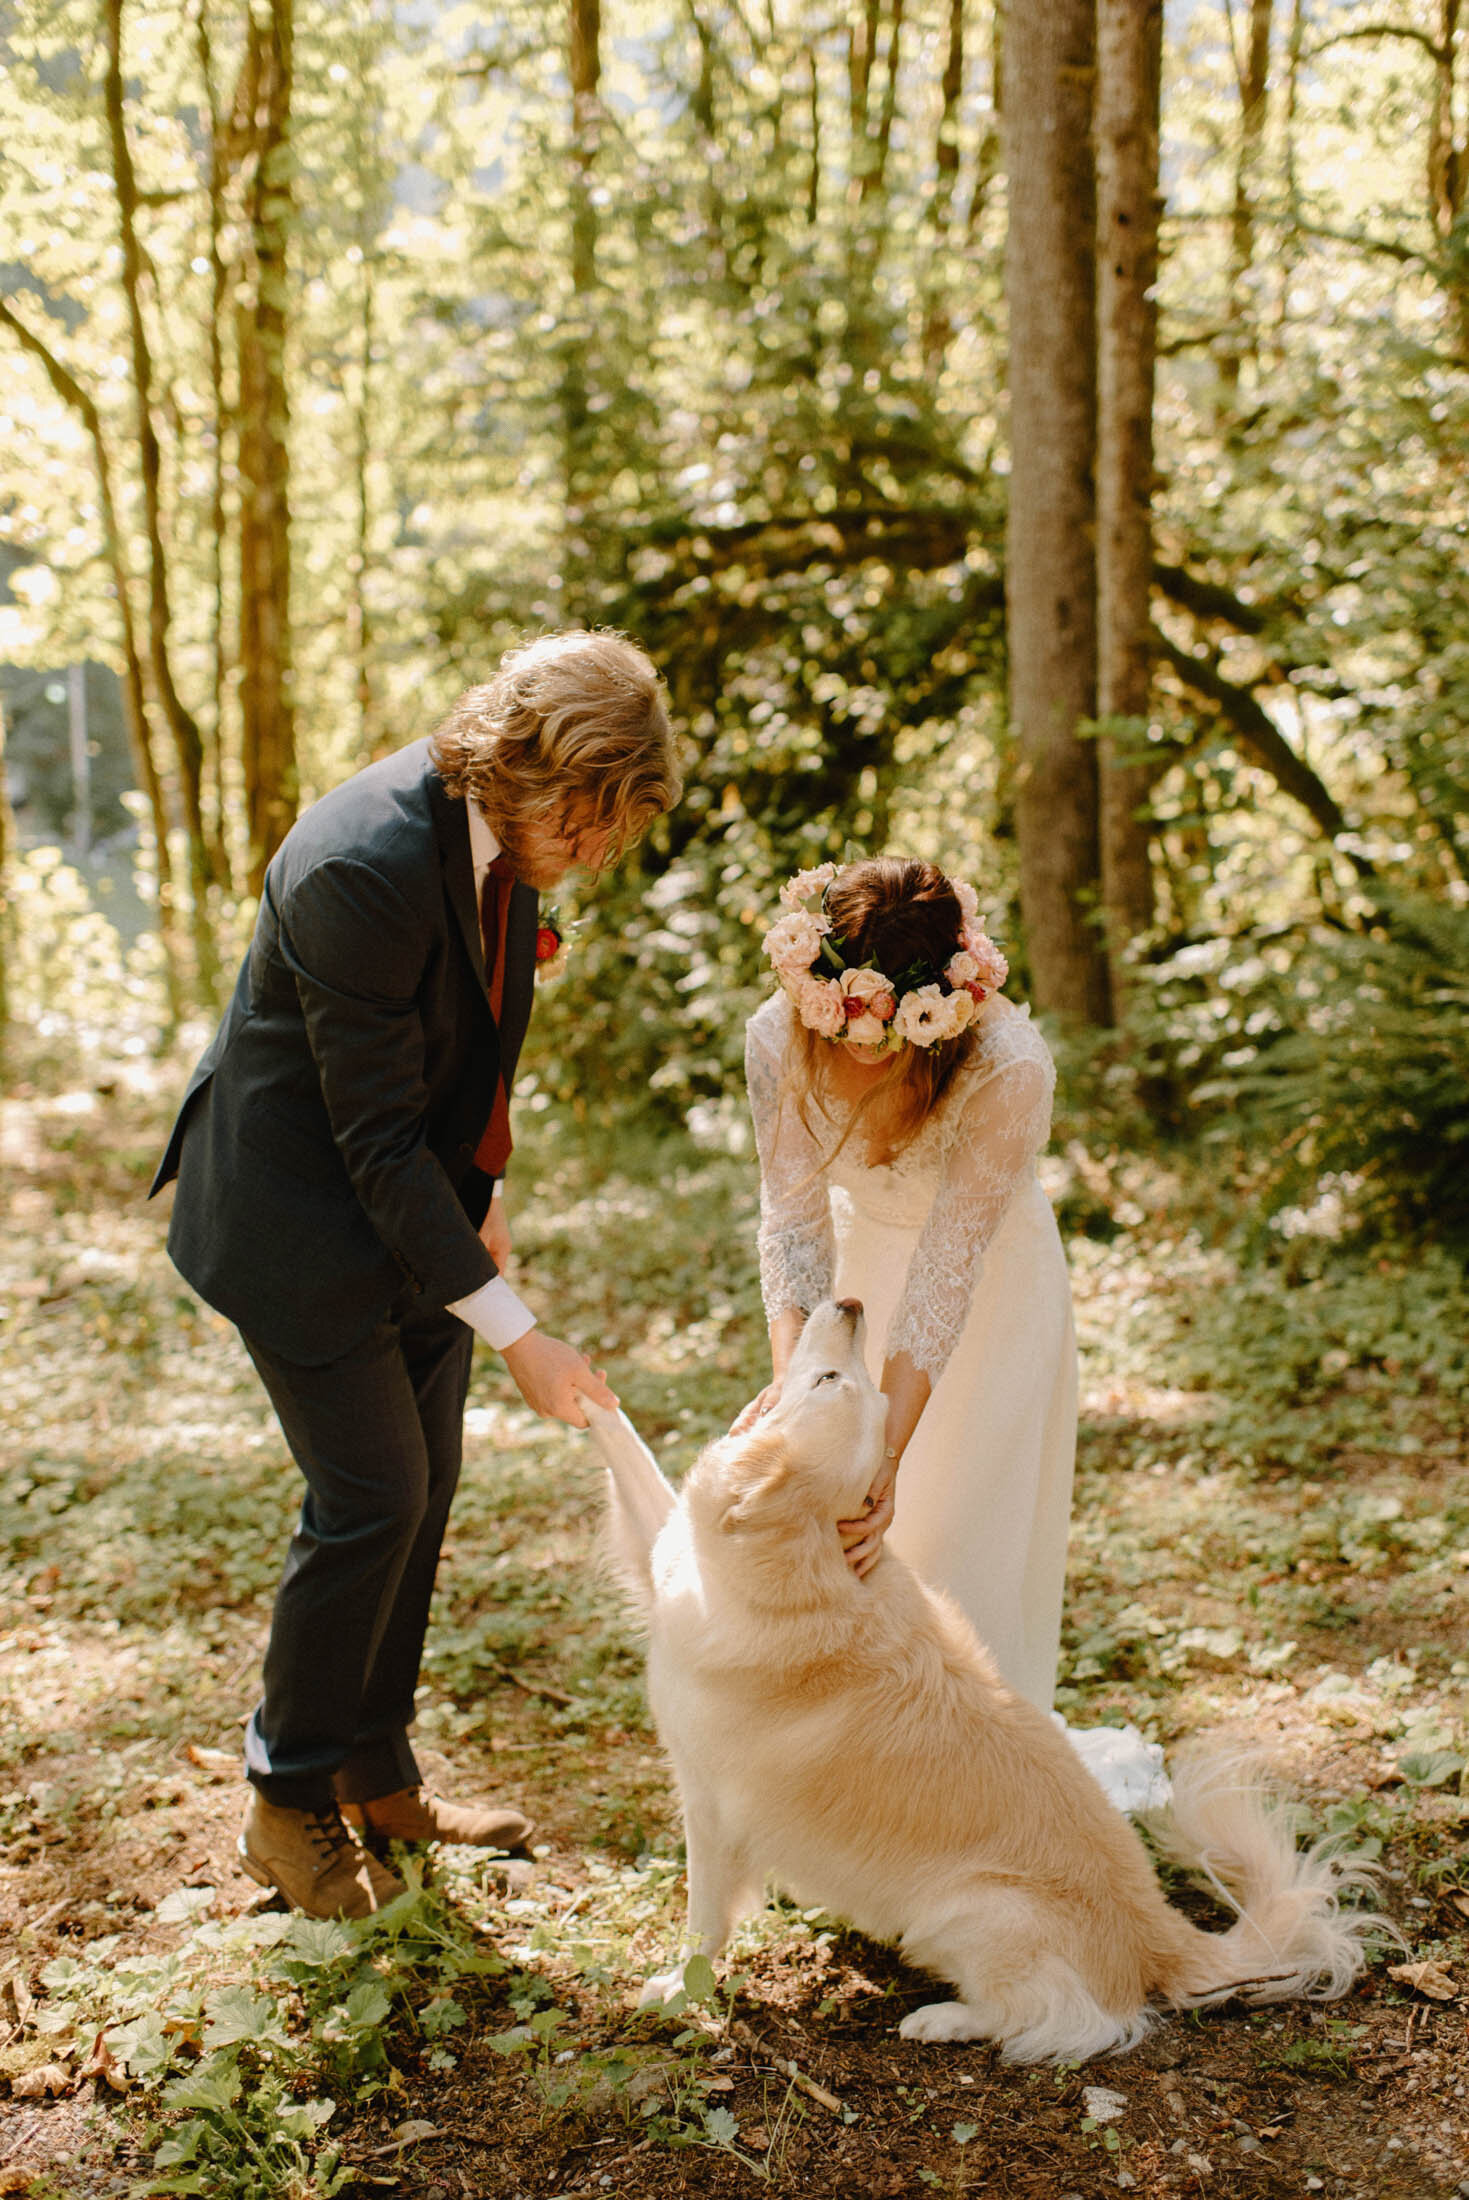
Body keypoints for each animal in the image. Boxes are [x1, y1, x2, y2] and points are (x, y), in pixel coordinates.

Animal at [580, 1293, 1381, 2050]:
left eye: (832, 1379)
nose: (851, 1306)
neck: (804, 1557)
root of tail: (1160, 1935)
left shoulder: (710, 1805)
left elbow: (703, 1921)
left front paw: (676, 1991)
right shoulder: (666, 1558)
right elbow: (629, 1451)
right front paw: (581, 1383)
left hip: (967, 1911)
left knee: (1064, 2019)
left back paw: (944, 2020)